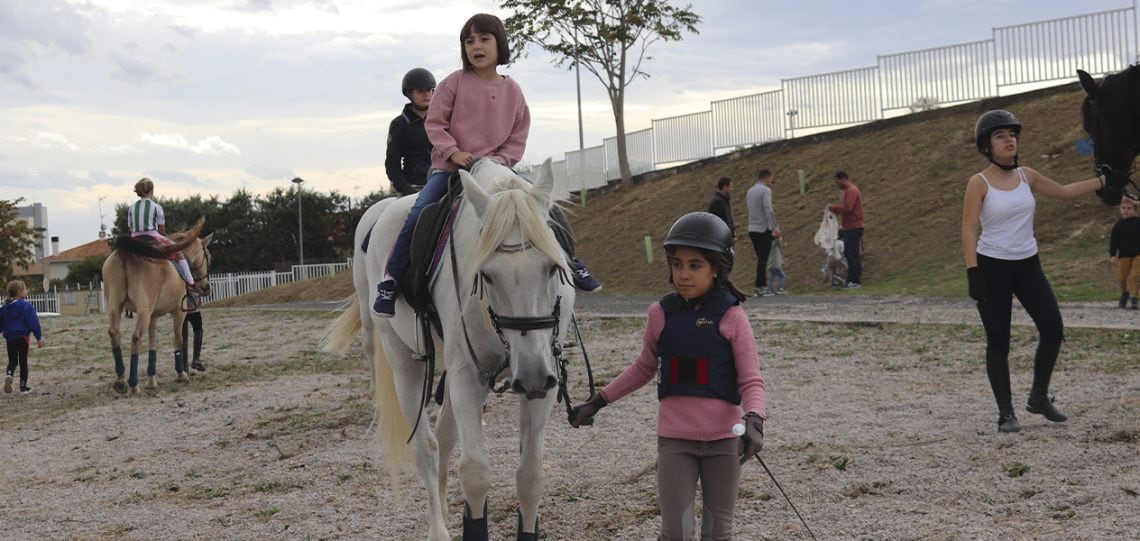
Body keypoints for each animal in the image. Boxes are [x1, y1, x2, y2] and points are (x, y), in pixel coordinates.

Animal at [103, 218, 214, 396]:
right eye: (208, 256)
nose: (206, 287)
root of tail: (125, 252)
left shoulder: (153, 316)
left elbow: (152, 343)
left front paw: (151, 380)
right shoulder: (178, 312)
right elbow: (179, 339)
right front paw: (181, 374)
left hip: (115, 305)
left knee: (114, 333)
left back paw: (120, 380)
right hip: (143, 310)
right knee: (136, 337)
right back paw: (133, 384)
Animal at [321, 158, 574, 539]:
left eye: (553, 267)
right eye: (487, 275)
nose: (530, 376)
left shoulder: (544, 377)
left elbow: (531, 476)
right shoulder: (468, 375)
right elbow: (474, 472)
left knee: (444, 438)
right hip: (402, 361)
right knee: (427, 447)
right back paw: (438, 528)